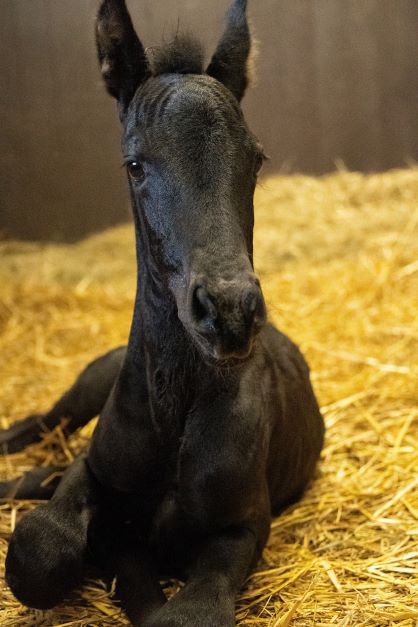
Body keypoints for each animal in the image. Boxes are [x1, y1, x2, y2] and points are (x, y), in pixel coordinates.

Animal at [0, 2, 324, 624]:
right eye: (134, 164)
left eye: (256, 159)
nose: (229, 313)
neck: (177, 412)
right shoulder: (93, 470)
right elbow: (41, 548)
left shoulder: (241, 528)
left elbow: (179, 610)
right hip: (81, 393)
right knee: (36, 426)